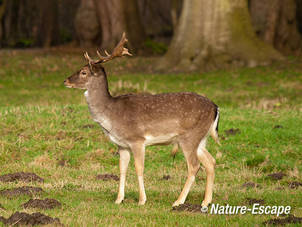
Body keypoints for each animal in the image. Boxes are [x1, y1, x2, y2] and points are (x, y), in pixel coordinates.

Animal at [64, 32, 219, 212]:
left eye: (83, 72)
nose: (66, 81)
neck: (111, 116)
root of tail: (215, 107)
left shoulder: (137, 139)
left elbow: (139, 168)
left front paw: (141, 200)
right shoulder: (122, 145)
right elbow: (122, 169)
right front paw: (118, 199)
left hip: (189, 136)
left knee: (194, 165)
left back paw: (178, 202)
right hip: (201, 138)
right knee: (210, 161)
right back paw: (205, 202)